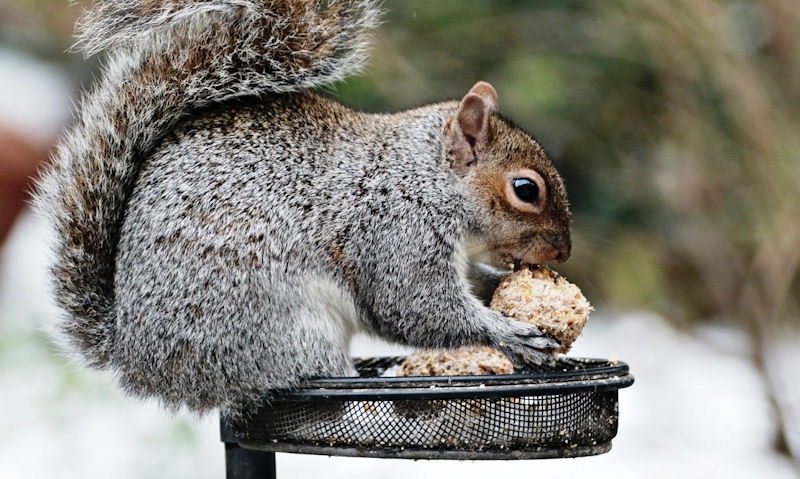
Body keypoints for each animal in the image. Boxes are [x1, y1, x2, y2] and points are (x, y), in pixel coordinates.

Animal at [34, 0, 572, 416]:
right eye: (526, 190)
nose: (563, 253)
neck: (423, 178)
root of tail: (137, 358)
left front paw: (504, 290)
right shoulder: (394, 230)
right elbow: (416, 308)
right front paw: (510, 334)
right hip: (280, 328)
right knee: (311, 374)